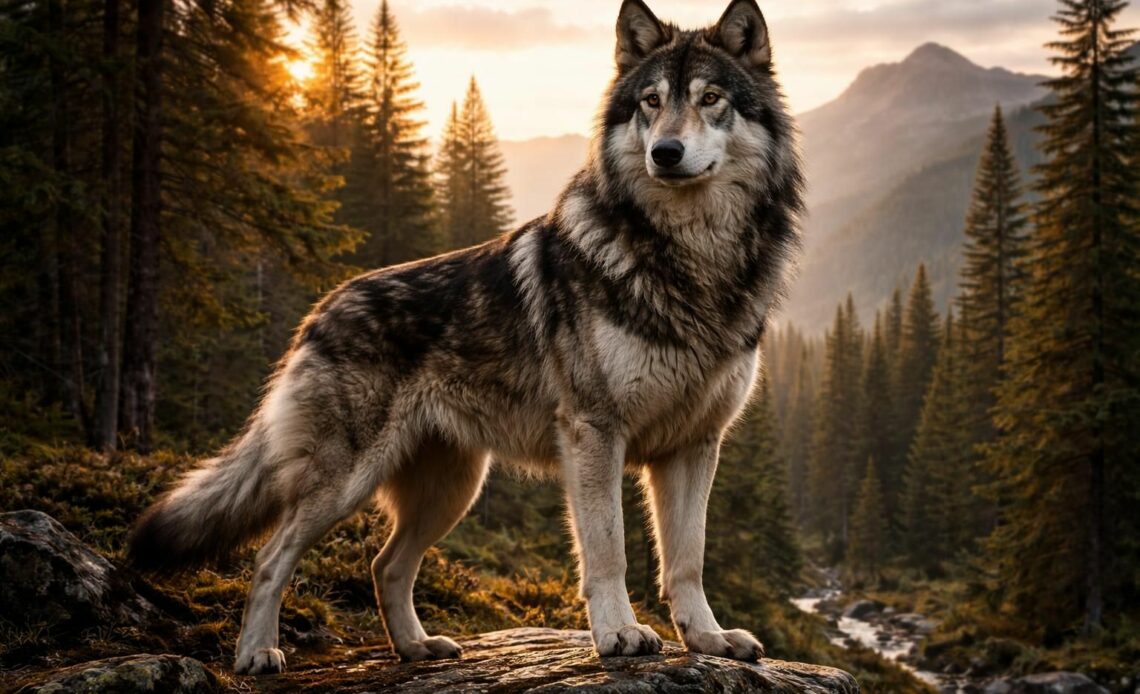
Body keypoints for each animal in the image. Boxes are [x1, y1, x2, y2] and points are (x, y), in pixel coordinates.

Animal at [128, 0, 803, 675]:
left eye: (710, 98)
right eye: (651, 102)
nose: (665, 152)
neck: (689, 261)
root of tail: (316, 313)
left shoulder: (695, 445)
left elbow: (687, 560)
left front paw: (710, 639)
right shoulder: (595, 434)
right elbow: (608, 550)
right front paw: (618, 634)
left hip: (451, 491)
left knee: (384, 565)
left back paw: (415, 648)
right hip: (345, 486)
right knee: (271, 559)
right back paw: (257, 653)